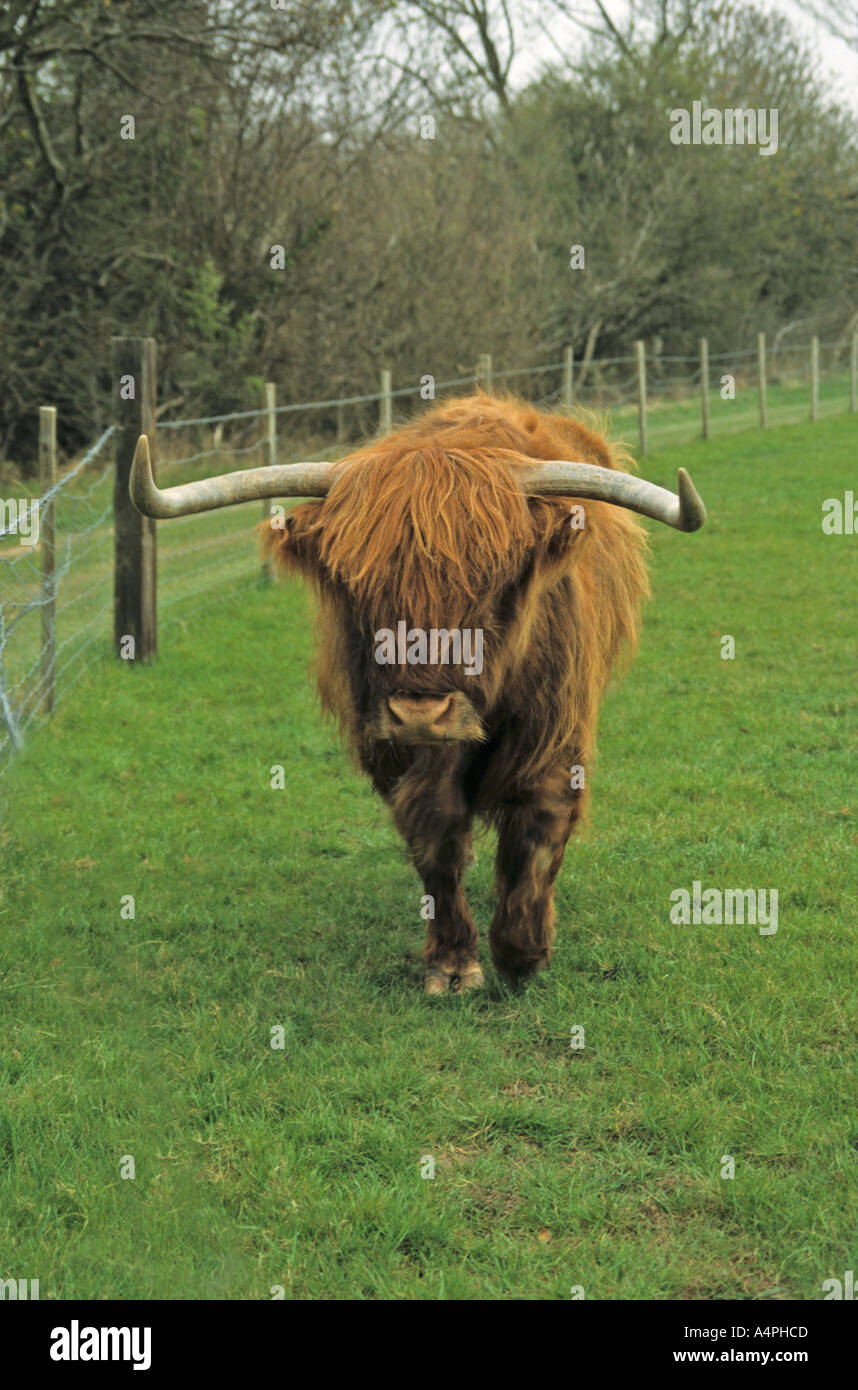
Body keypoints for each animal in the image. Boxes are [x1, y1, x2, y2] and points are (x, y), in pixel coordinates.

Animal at [130, 393, 705, 994]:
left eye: (491, 586)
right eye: (356, 588)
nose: (420, 714)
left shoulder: (556, 730)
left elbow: (537, 829)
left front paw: (522, 953)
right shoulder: (390, 748)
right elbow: (436, 835)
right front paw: (452, 963)